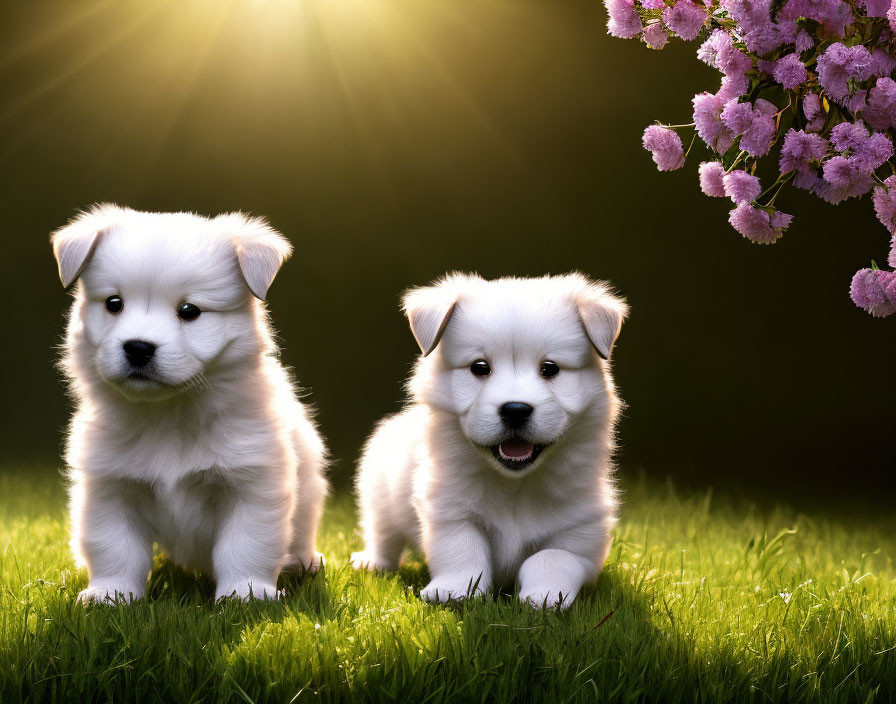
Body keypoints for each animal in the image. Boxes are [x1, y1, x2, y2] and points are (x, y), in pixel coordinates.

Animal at [51, 205, 328, 604]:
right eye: (114, 304)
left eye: (189, 310)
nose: (138, 347)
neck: (169, 414)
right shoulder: (109, 486)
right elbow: (114, 547)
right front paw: (111, 595)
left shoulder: (252, 485)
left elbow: (245, 546)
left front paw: (245, 596)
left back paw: (304, 563)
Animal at [346, 272, 628, 608]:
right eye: (480, 367)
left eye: (550, 369)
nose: (515, 409)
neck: (516, 485)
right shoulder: (450, 511)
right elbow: (462, 552)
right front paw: (451, 591)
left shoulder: (579, 534)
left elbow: (550, 558)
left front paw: (544, 596)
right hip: (379, 493)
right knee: (383, 535)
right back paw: (373, 562)